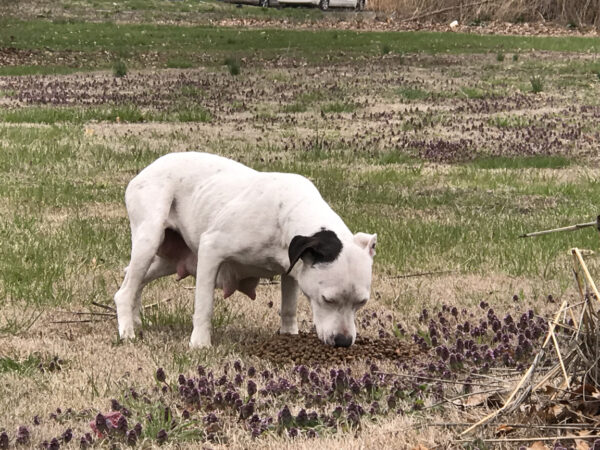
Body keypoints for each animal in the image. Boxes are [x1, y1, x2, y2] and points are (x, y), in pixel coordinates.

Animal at [113, 152, 376, 348]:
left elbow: (288, 307)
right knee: (125, 291)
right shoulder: (211, 249)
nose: (343, 341)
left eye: (361, 302)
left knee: (134, 281)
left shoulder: (293, 269)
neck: (287, 213)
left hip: (168, 261)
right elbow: (204, 306)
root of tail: (146, 170)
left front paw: (289, 335)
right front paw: (200, 343)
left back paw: (135, 319)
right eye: (328, 300)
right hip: (149, 240)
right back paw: (127, 331)